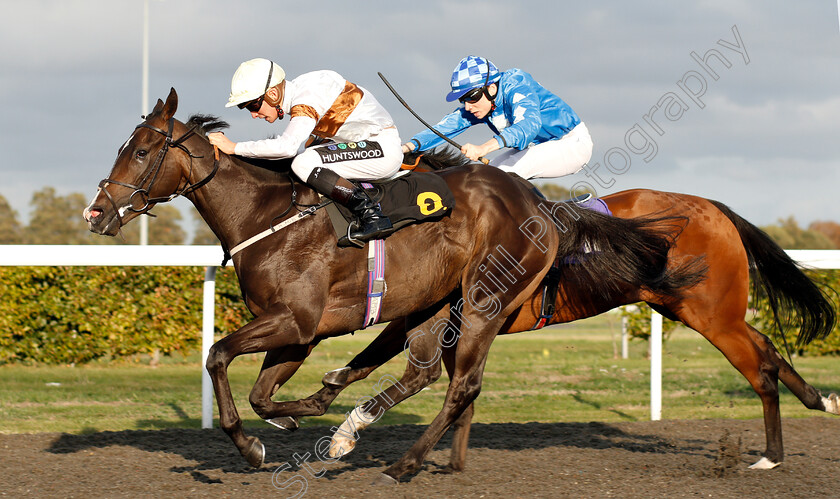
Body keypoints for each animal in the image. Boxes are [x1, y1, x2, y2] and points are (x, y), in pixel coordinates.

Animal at [83, 89, 704, 472]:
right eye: (121, 148)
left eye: (142, 151)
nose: (97, 212)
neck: (267, 215)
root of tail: (542, 205)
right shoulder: (298, 332)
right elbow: (263, 393)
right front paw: (293, 415)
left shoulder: (295, 321)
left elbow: (216, 356)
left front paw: (253, 446)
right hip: (436, 301)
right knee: (425, 371)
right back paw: (346, 424)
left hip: (486, 299)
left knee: (461, 385)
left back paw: (404, 462)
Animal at [286, 156, 836, 480]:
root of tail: (714, 208)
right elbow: (372, 364)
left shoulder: (433, 313)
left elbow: (388, 363)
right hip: (692, 306)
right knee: (768, 348)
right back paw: (817, 404)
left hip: (711, 313)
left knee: (759, 369)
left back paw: (770, 452)